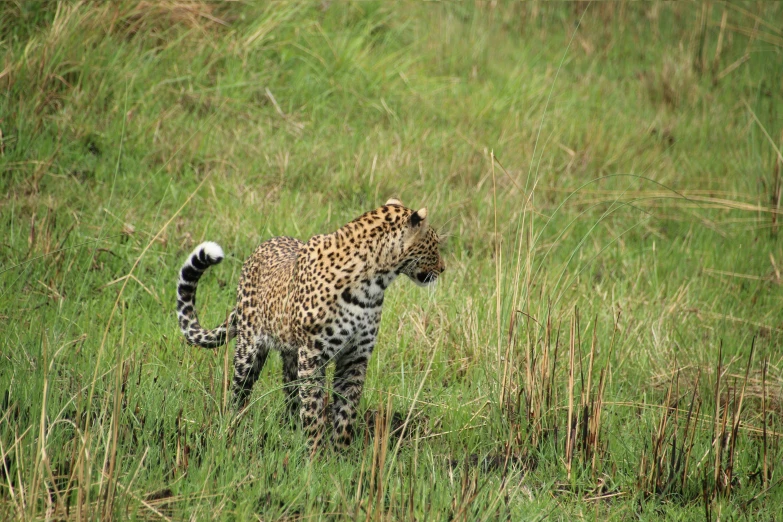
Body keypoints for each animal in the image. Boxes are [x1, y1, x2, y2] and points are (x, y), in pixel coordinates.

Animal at [178, 197, 448, 448]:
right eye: (434, 244)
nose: (443, 269)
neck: (373, 285)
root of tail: (259, 249)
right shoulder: (312, 356)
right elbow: (314, 408)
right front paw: (314, 455)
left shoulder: (355, 356)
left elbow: (346, 410)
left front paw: (340, 454)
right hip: (249, 350)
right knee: (239, 392)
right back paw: (232, 428)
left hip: (290, 355)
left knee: (290, 392)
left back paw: (290, 429)